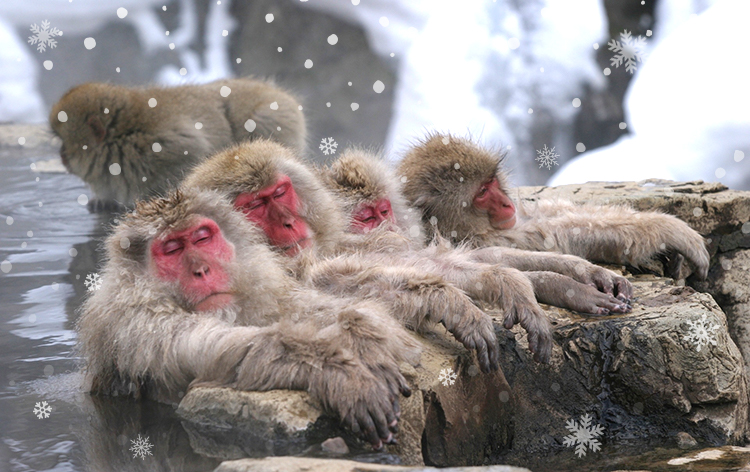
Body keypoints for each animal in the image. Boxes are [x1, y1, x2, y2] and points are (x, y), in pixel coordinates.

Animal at [50, 78, 306, 211]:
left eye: (64, 143)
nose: (61, 156)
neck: (123, 137)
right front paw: (103, 201)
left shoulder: (166, 145)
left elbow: (194, 154)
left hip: (273, 116)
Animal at [78, 188, 420, 450]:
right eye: (172, 250)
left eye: (202, 239)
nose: (201, 270)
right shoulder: (136, 321)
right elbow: (211, 349)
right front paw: (338, 372)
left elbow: (304, 307)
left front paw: (364, 337)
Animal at [400, 135, 712, 284]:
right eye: (481, 194)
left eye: (491, 182)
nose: (505, 203)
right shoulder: (487, 239)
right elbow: (559, 235)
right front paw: (669, 229)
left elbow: (547, 213)